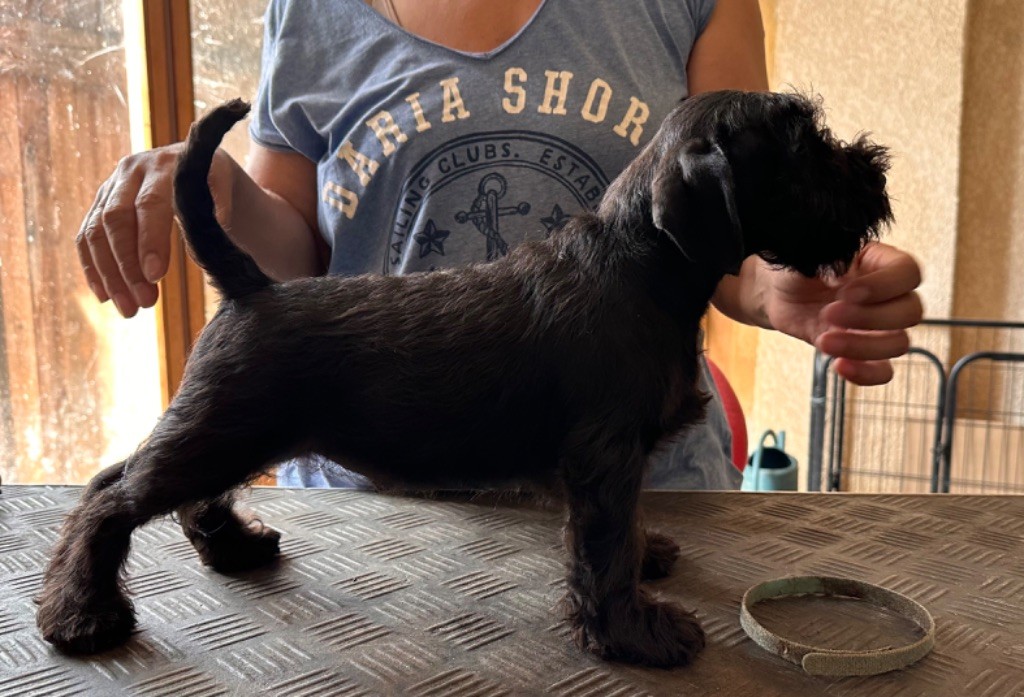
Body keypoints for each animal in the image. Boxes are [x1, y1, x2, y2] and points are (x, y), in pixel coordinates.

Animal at [37, 91, 891, 666]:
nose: (876, 170)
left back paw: (233, 546)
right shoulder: (606, 459)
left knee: (135, 482)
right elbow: (605, 552)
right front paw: (637, 632)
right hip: (222, 427)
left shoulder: (616, 464)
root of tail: (252, 287)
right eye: (802, 146)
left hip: (225, 427)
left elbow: (622, 533)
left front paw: (648, 561)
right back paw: (81, 614)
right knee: (110, 500)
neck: (645, 262)